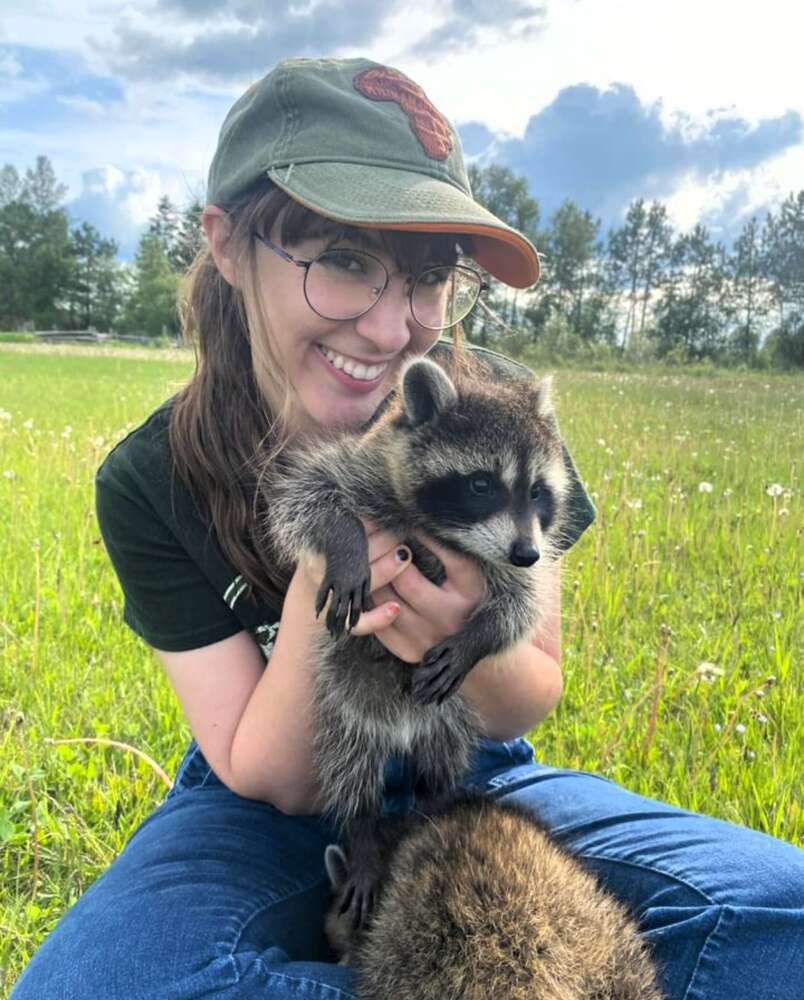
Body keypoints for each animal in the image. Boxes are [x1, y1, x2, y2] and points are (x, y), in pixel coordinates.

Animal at [259, 355, 571, 927]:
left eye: (538, 491)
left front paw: (477, 637)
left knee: (437, 767)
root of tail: (401, 730)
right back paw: (362, 837)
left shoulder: (517, 560)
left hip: (449, 719)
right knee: (351, 773)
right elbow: (307, 500)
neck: (444, 533)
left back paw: (432, 813)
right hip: (344, 710)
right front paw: (345, 542)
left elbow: (521, 605)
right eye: (481, 484)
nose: (526, 553)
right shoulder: (359, 466)